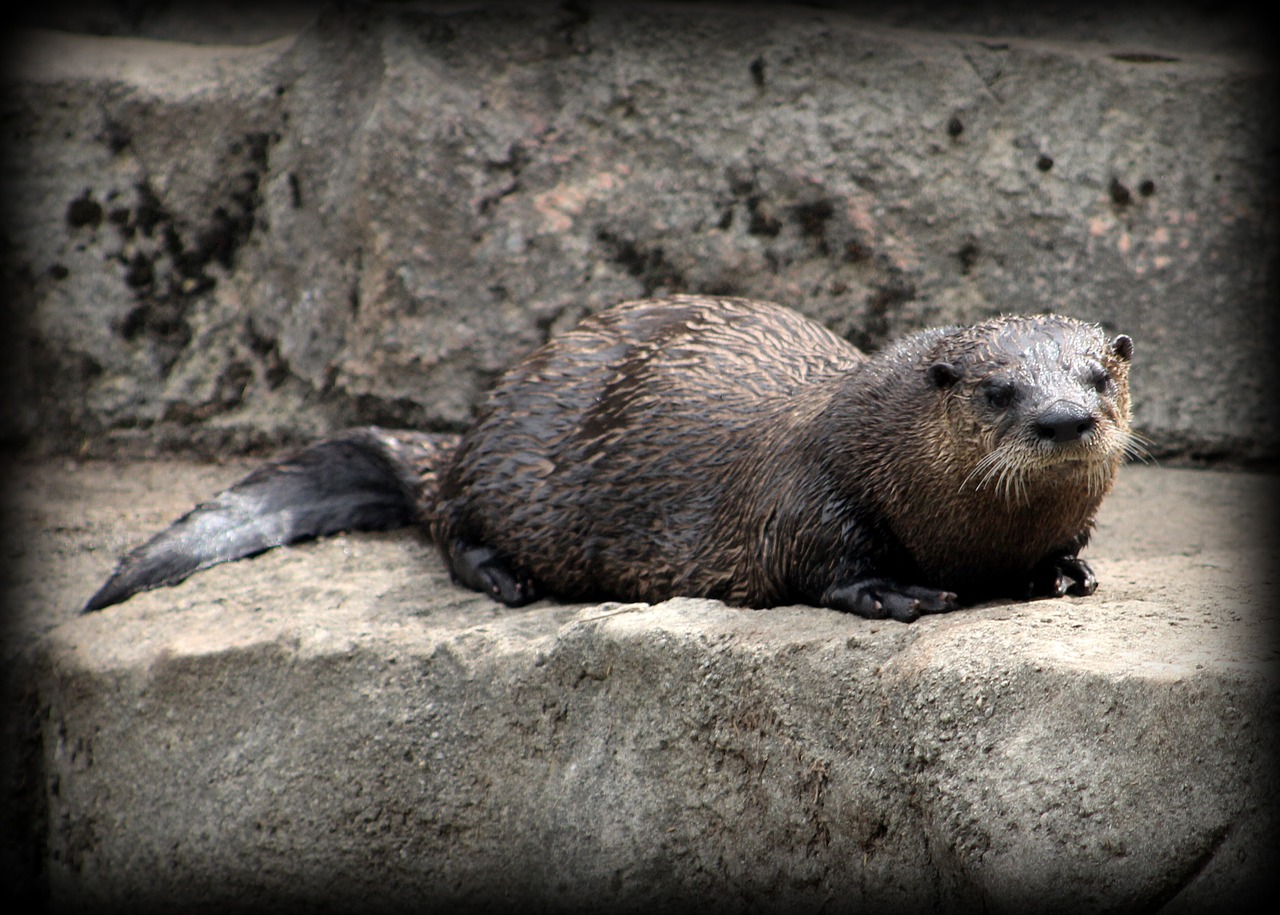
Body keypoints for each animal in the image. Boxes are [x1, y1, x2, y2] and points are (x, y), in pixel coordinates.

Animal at [85, 295, 1136, 621]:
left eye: (1099, 375)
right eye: (997, 390)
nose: (1063, 420)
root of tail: (472, 427)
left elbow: (1063, 547)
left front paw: (1064, 569)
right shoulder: (804, 491)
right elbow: (817, 560)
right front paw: (896, 592)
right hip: (505, 464)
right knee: (449, 522)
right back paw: (505, 578)